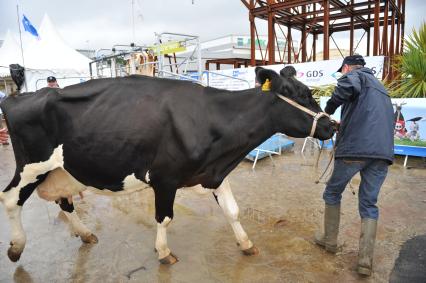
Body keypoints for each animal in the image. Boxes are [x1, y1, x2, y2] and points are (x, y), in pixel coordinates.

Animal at [0, 66, 334, 264]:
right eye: (300, 93)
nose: (332, 125)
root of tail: (21, 96)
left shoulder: (214, 173)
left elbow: (232, 210)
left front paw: (246, 244)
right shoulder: (165, 178)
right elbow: (164, 218)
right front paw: (163, 252)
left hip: (62, 170)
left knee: (64, 202)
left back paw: (85, 234)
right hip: (31, 167)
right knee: (10, 200)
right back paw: (16, 247)